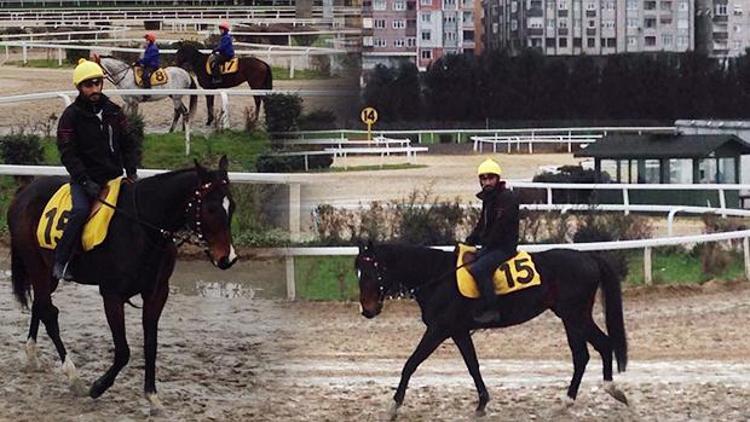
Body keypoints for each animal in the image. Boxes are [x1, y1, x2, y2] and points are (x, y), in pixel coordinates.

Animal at [6, 157, 238, 418]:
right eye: (210, 209)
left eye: (232, 207)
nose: (227, 258)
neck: (143, 227)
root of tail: (25, 191)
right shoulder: (112, 295)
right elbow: (124, 350)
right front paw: (98, 387)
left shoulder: (157, 293)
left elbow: (151, 344)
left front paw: (153, 398)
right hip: (36, 264)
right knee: (48, 311)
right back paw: (73, 377)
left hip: (48, 273)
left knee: (39, 304)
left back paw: (32, 355)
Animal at [356, 242, 632, 420]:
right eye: (358, 272)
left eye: (371, 271)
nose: (367, 310)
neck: (438, 276)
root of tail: (590, 258)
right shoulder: (458, 331)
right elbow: (473, 365)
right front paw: (481, 403)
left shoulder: (438, 330)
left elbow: (411, 363)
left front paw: (393, 407)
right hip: (576, 315)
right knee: (600, 347)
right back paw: (609, 391)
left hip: (573, 316)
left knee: (583, 355)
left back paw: (569, 402)